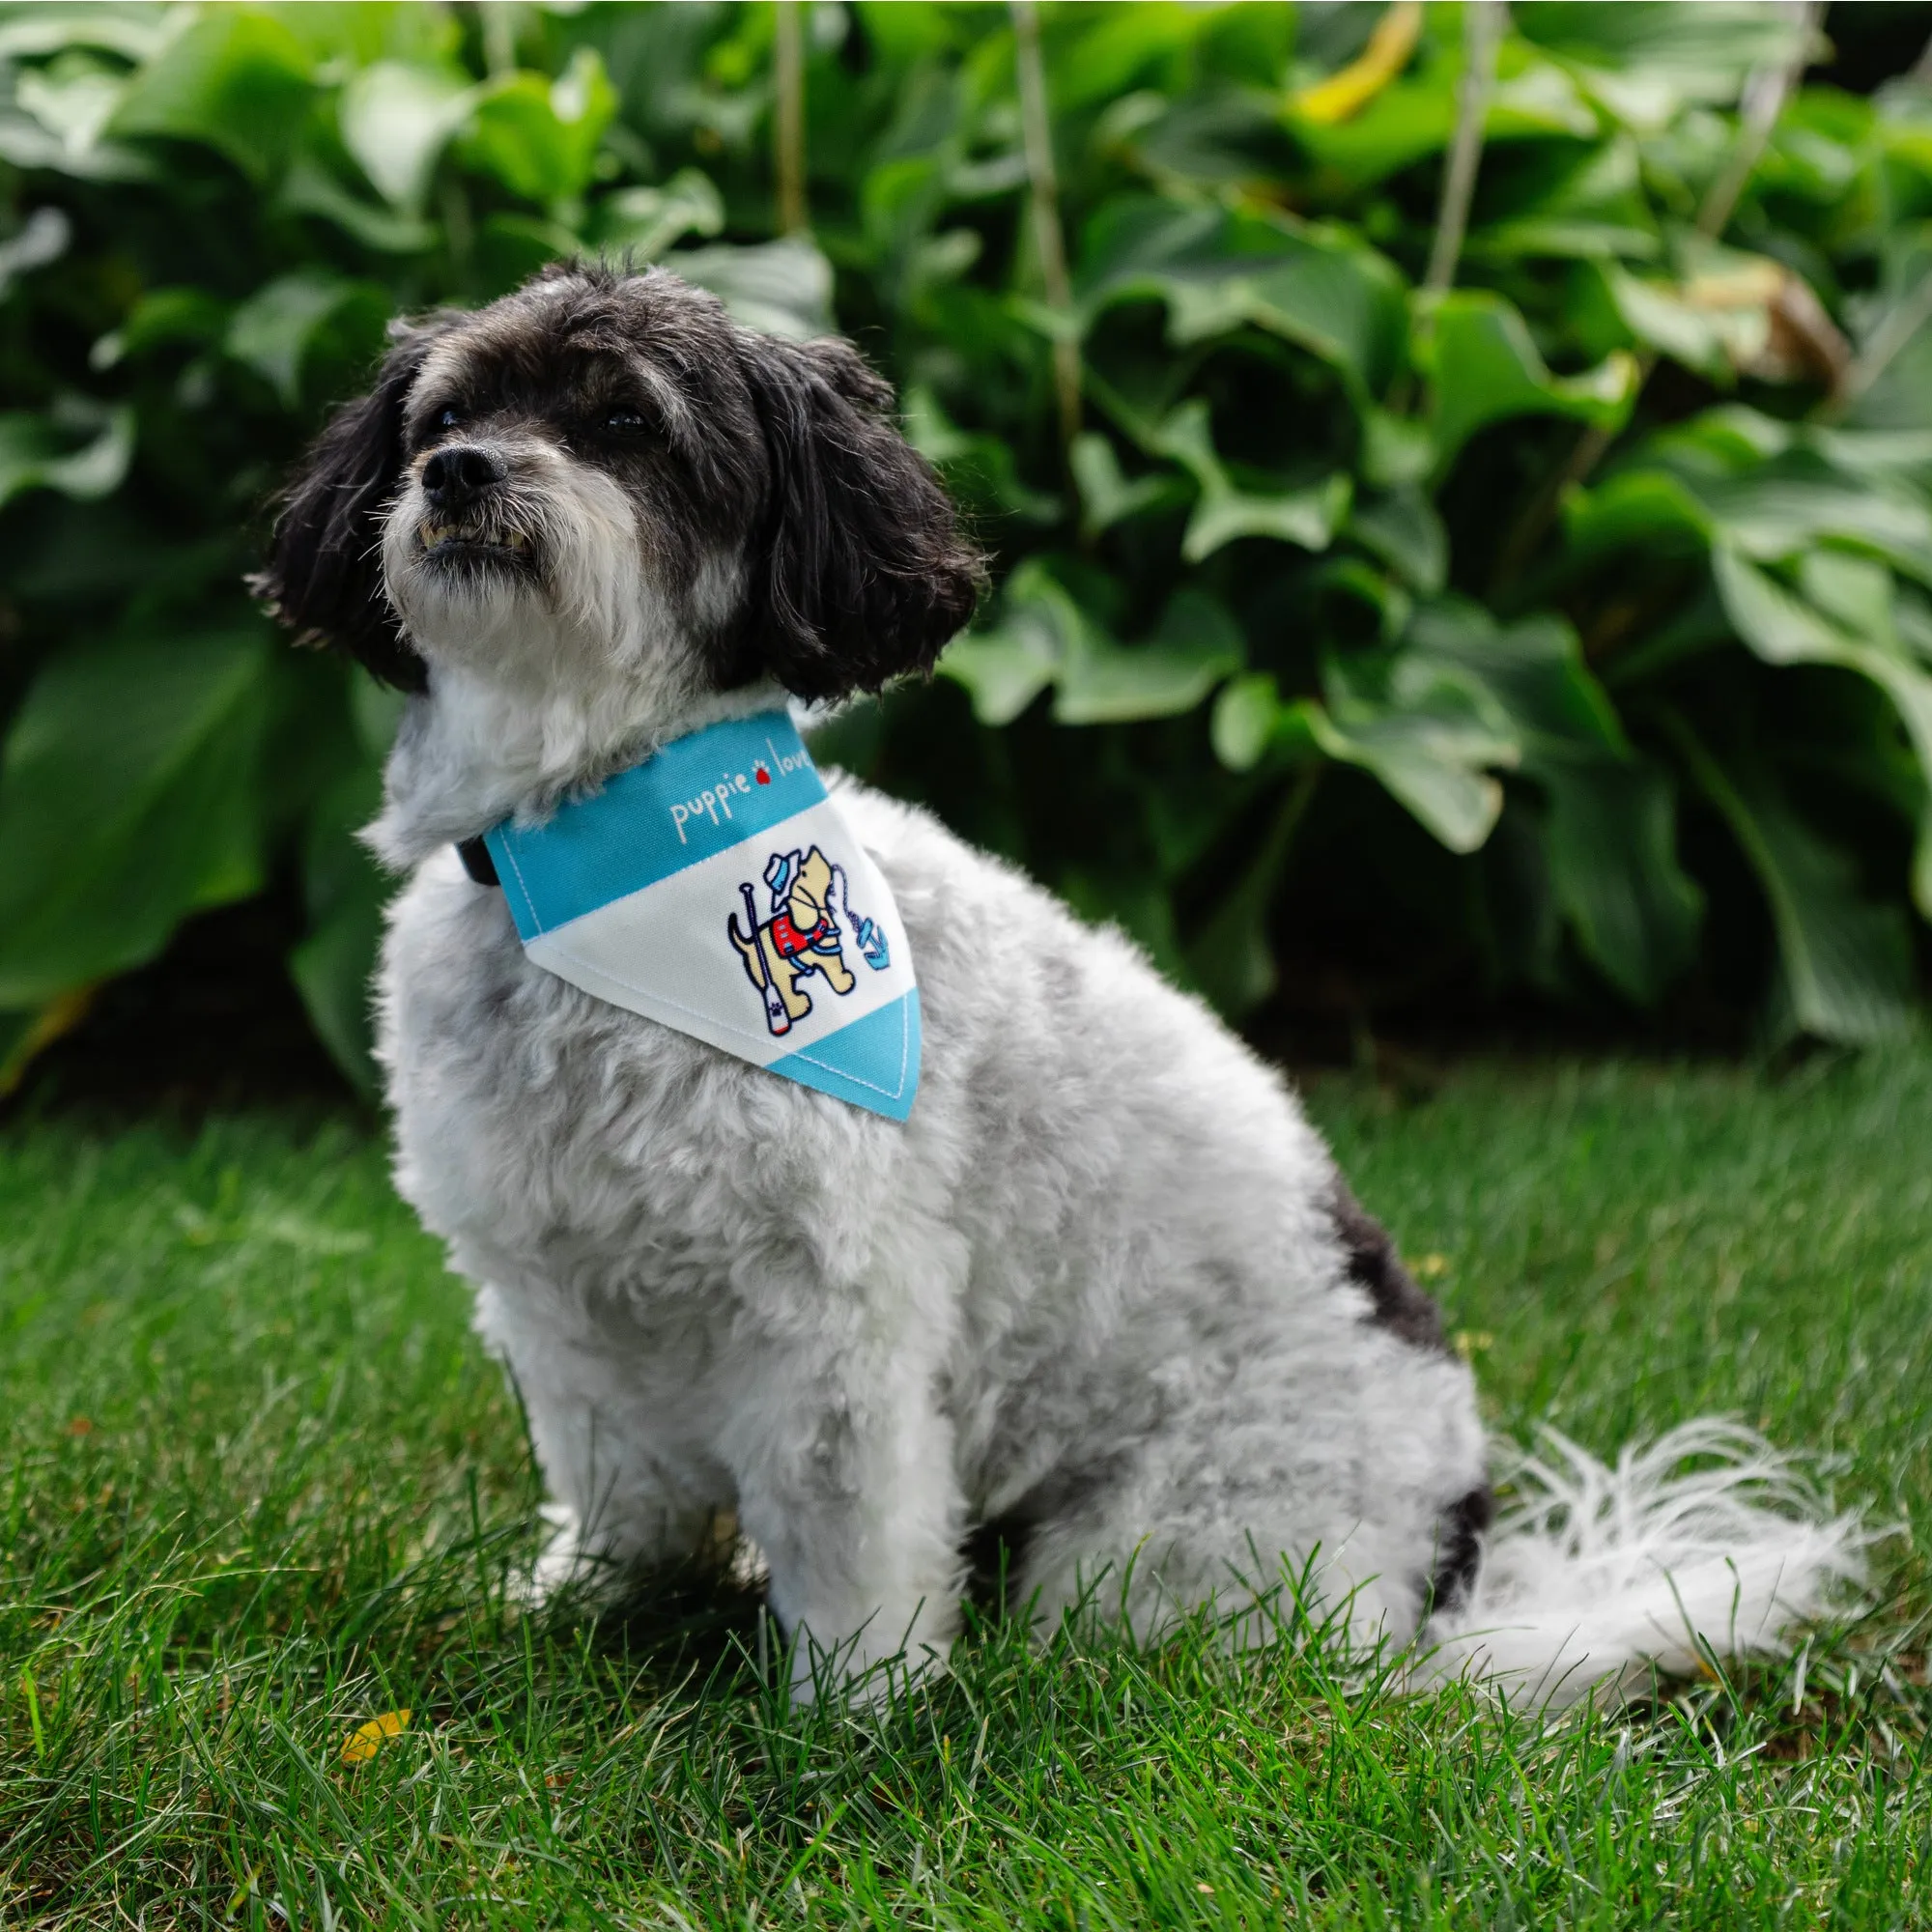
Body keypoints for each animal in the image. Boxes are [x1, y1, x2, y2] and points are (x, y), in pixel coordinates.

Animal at [257, 269, 1855, 1708]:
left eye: (625, 424)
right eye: (445, 415)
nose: (458, 471)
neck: (588, 858)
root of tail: (1438, 1587)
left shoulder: (836, 1326)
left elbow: (853, 1547)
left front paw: (848, 1726)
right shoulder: (567, 1308)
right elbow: (617, 1497)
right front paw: (583, 1612)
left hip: (1154, 1553)